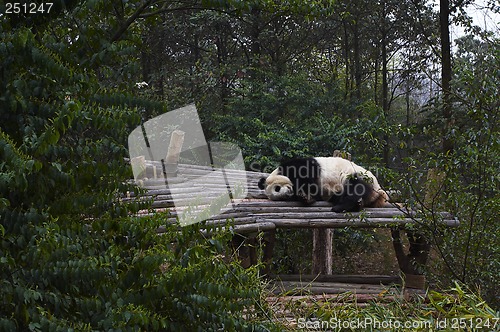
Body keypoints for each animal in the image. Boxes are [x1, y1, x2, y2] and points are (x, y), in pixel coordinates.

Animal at [260, 156, 392, 213]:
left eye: (277, 188)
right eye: (280, 197)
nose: (287, 194)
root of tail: (378, 191)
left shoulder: (299, 166)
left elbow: (308, 177)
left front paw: (305, 194)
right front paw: (304, 197)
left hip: (357, 175)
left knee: (356, 187)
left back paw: (340, 207)